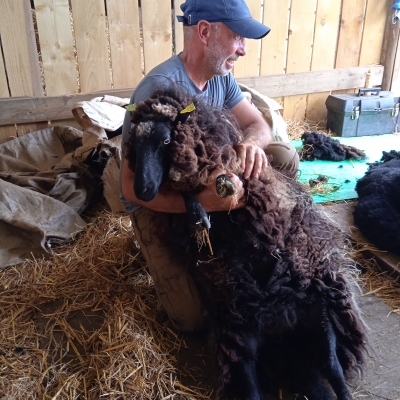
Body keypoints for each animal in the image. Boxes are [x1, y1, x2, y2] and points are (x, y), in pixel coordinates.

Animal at [124, 86, 368, 400]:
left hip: (320, 315)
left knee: (334, 370)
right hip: (240, 338)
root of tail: (284, 332)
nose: (142, 190)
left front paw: (220, 188)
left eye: (166, 140)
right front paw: (198, 210)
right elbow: (187, 200)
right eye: (133, 143)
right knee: (256, 390)